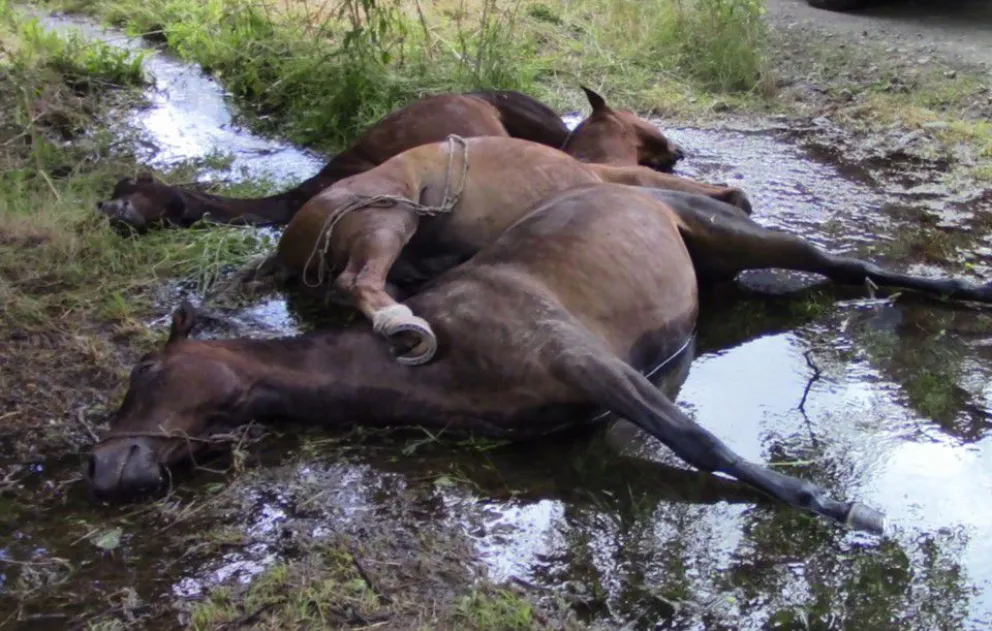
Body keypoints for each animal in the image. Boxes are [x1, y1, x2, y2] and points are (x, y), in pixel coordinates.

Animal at [85, 183, 899, 535]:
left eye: (144, 373)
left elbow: (698, 441)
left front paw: (829, 502)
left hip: (733, 232)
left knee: (845, 263)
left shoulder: (586, 359)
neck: (433, 362)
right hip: (719, 267)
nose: (102, 468)